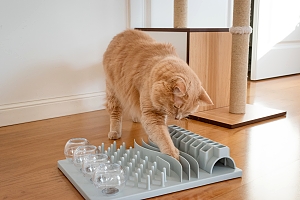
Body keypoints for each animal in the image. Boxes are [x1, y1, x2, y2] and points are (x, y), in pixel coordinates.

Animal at [103, 29, 213, 159]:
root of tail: (122, 33)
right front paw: (172, 154)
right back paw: (114, 132)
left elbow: (160, 132)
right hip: (113, 91)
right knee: (115, 113)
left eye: (187, 113)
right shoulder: (152, 114)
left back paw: (136, 118)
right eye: (176, 106)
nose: (177, 118)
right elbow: (163, 136)